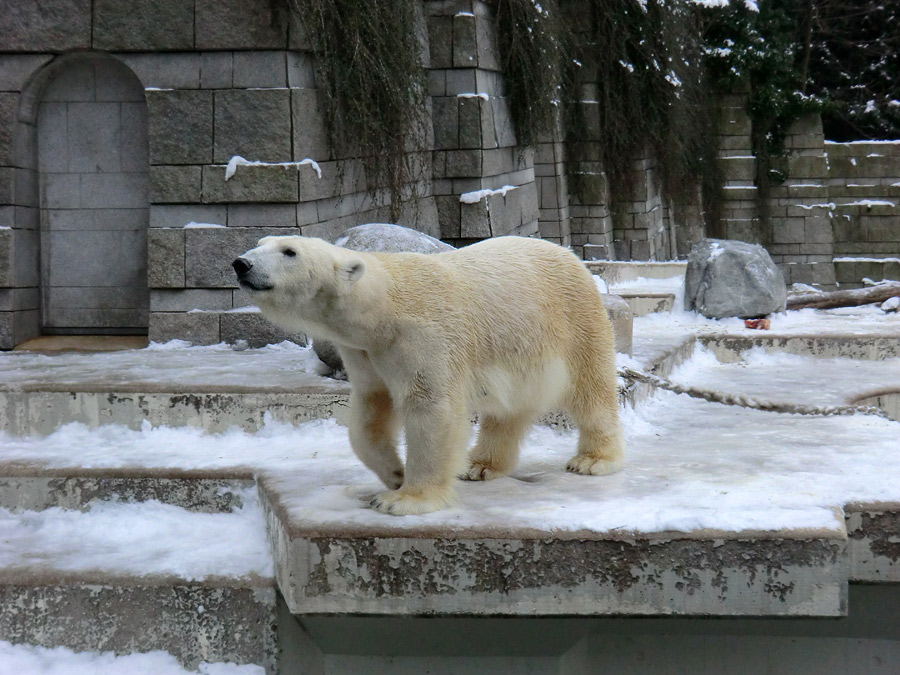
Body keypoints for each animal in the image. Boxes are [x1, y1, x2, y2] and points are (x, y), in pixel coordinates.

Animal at [234, 235, 624, 516]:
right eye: (261, 242)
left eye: (289, 251)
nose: (241, 263)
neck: (383, 307)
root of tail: (571, 255)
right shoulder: (365, 352)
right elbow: (370, 410)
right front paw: (394, 473)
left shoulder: (426, 336)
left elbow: (431, 408)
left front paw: (404, 499)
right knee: (509, 409)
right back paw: (479, 465)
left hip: (574, 321)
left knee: (591, 390)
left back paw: (593, 460)